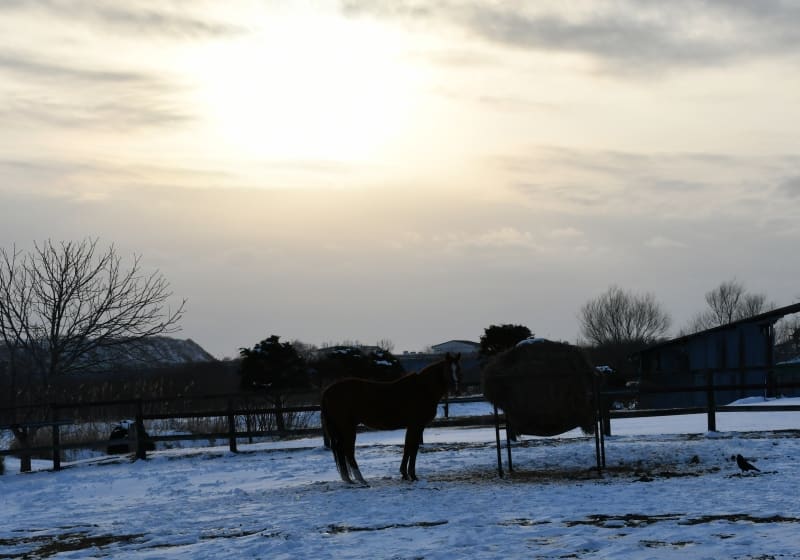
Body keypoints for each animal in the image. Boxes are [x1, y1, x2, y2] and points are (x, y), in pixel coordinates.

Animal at [320, 352, 462, 484]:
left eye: (459, 369)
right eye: (448, 370)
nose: (456, 390)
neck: (423, 389)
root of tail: (328, 390)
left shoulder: (414, 427)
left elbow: (408, 447)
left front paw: (405, 474)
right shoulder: (416, 425)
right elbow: (413, 448)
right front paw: (412, 475)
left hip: (341, 428)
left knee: (340, 450)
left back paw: (348, 479)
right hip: (347, 427)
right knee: (348, 450)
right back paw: (361, 479)